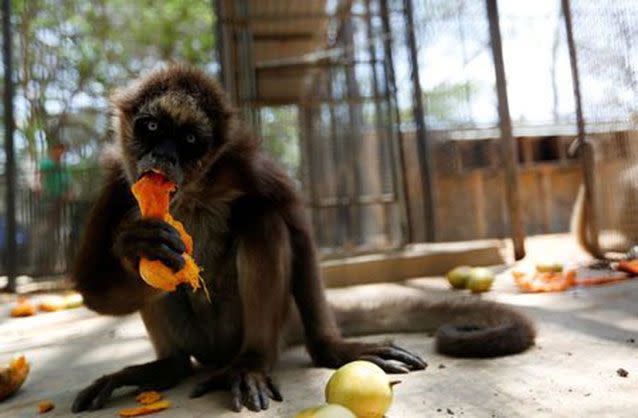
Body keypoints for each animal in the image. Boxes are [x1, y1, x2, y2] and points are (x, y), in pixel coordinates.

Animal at [71, 63, 536, 414]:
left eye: (188, 140)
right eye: (150, 127)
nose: (163, 156)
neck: (191, 193)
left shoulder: (244, 164)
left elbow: (297, 230)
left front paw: (333, 349)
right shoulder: (117, 180)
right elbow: (93, 290)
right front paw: (139, 245)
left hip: (244, 329)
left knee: (263, 220)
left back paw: (251, 363)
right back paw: (167, 368)